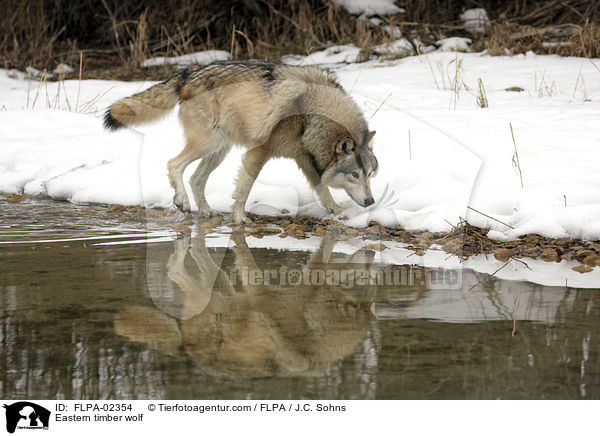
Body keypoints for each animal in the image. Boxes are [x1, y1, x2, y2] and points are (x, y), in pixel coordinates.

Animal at [102, 60, 376, 223]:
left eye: (370, 174)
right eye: (354, 175)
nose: (371, 201)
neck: (310, 114)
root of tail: (188, 74)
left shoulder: (305, 159)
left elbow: (321, 188)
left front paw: (337, 212)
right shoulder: (259, 152)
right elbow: (244, 189)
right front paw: (239, 218)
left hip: (219, 151)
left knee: (196, 178)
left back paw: (206, 211)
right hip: (208, 144)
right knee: (174, 164)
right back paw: (182, 202)